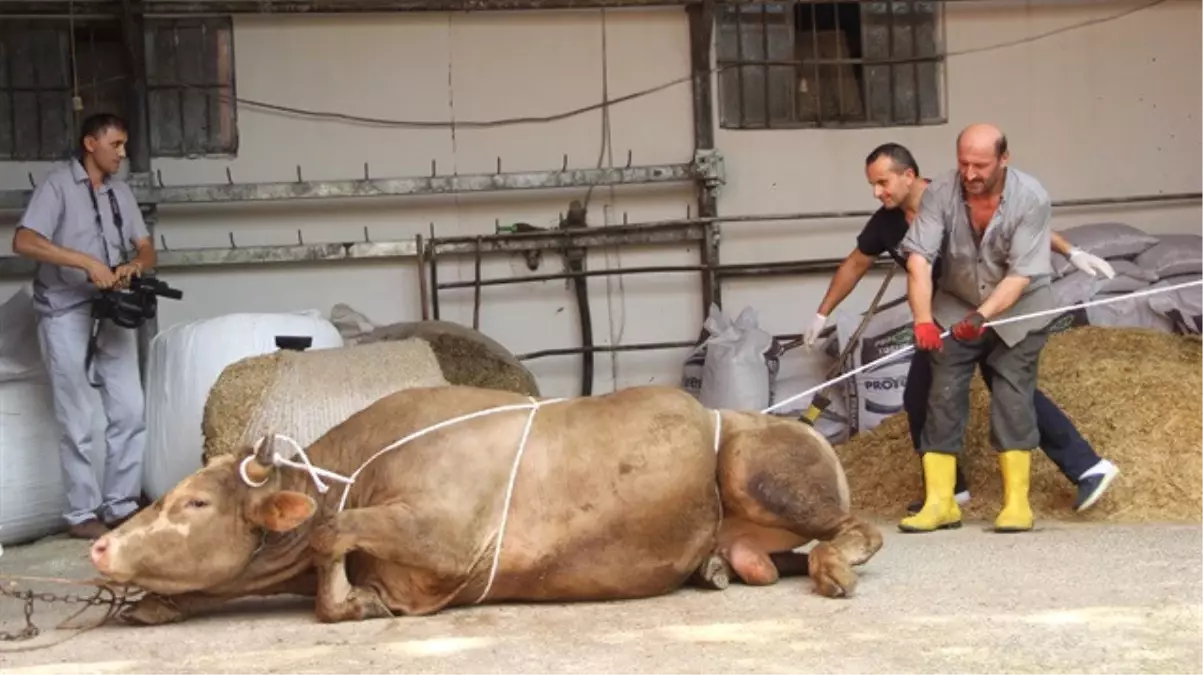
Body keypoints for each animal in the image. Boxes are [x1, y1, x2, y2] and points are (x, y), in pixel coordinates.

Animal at [91, 382, 885, 625]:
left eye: (194, 502)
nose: (100, 546)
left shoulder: (442, 539)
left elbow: (329, 535)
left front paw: (351, 602)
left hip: (760, 470)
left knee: (856, 529)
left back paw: (833, 569)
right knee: (767, 558)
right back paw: (719, 567)